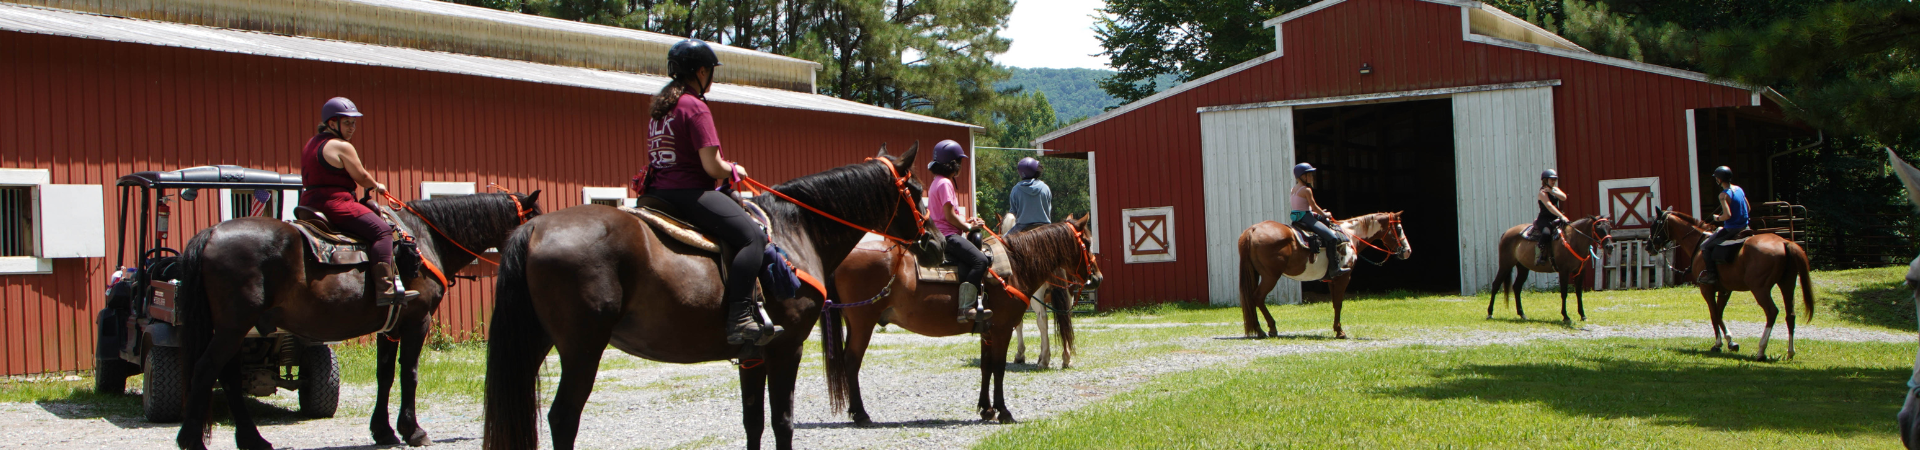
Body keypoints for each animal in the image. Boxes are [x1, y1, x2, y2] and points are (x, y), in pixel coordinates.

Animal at [170, 190, 541, 450]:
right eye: (535, 216)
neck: (424, 238)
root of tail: (211, 233)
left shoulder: (389, 328)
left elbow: (385, 375)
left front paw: (384, 431)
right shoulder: (417, 321)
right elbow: (409, 374)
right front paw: (413, 430)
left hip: (234, 331)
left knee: (229, 377)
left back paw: (252, 439)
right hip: (232, 329)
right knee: (206, 370)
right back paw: (192, 439)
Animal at [483, 146, 925, 448]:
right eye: (917, 191)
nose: (933, 242)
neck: (794, 231)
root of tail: (535, 228)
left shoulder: (753, 354)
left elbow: (753, 420)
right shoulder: (786, 348)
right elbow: (782, 421)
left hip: (537, 342)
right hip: (582, 350)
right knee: (563, 419)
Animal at [821, 214, 1105, 425]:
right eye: (1087, 242)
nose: (1097, 277)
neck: (1015, 266)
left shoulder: (987, 330)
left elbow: (986, 367)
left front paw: (986, 409)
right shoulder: (1002, 329)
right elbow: (999, 368)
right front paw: (1003, 411)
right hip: (862, 323)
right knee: (851, 361)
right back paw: (860, 414)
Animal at [1228, 210, 1413, 338]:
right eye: (1398, 228)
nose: (1407, 251)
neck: (1349, 236)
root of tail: (1252, 230)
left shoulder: (1331, 280)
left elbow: (1335, 304)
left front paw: (1337, 329)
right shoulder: (1343, 277)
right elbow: (1339, 303)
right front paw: (1340, 331)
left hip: (1257, 273)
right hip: (1270, 276)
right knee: (1258, 297)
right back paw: (1267, 329)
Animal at [1651, 208, 1812, 361]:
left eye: (1654, 225)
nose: (1648, 246)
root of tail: (1784, 243)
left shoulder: (1707, 290)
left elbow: (1714, 314)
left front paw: (1718, 344)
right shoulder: (1725, 291)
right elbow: (1719, 314)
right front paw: (1731, 342)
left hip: (1760, 290)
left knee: (1771, 312)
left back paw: (1761, 351)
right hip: (1787, 285)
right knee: (1790, 315)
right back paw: (1790, 352)